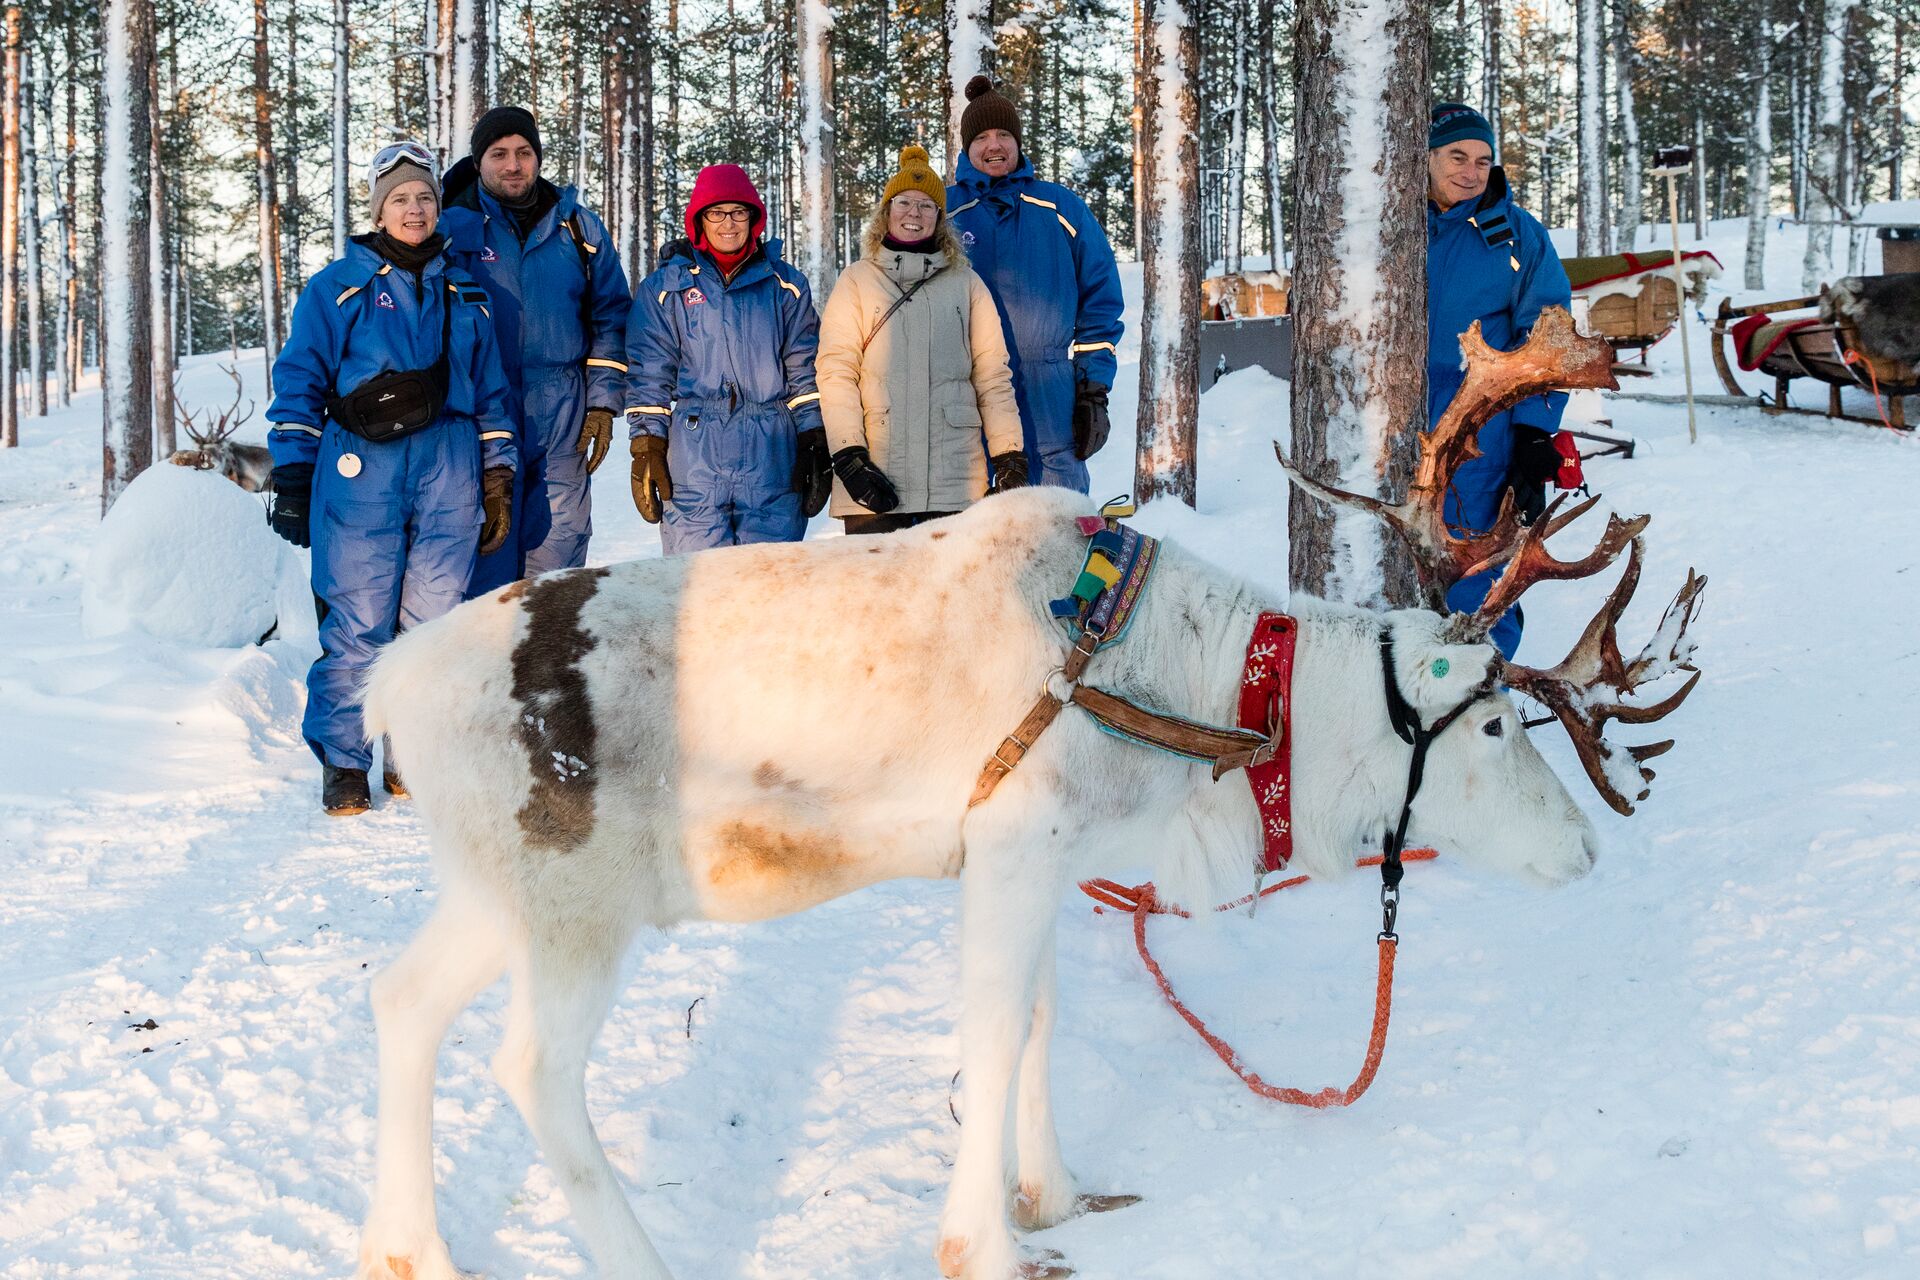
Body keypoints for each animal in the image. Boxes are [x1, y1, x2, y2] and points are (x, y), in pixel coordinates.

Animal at [351, 307, 1703, 1280]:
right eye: (1494, 720)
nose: (1583, 848)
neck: (1203, 690)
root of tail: (385, 688)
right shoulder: (1011, 844)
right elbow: (996, 1034)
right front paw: (985, 1245)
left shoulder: (1053, 856)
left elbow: (1044, 1021)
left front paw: (1053, 1193)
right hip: (579, 904)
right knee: (531, 1069)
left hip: (496, 893)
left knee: (404, 999)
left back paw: (409, 1251)